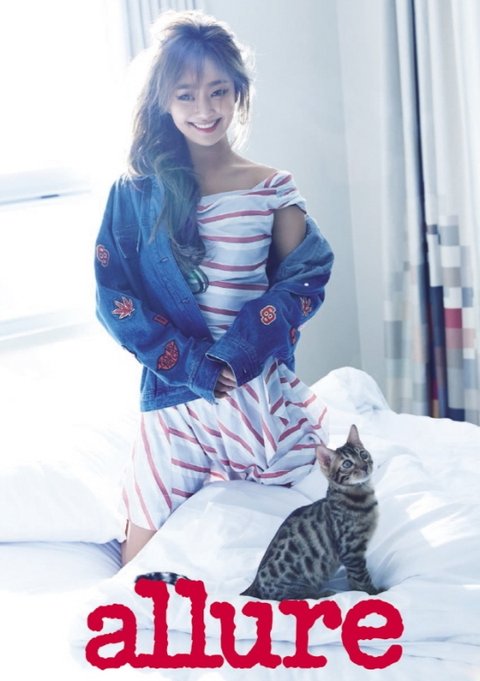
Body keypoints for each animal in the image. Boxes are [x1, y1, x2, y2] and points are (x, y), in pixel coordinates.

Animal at [136, 425, 380, 601]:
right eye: (347, 464)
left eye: (364, 454)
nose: (365, 466)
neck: (360, 496)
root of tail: (253, 586)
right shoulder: (351, 551)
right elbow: (362, 579)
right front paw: (375, 593)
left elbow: (355, 579)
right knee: (289, 598)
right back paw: (322, 593)